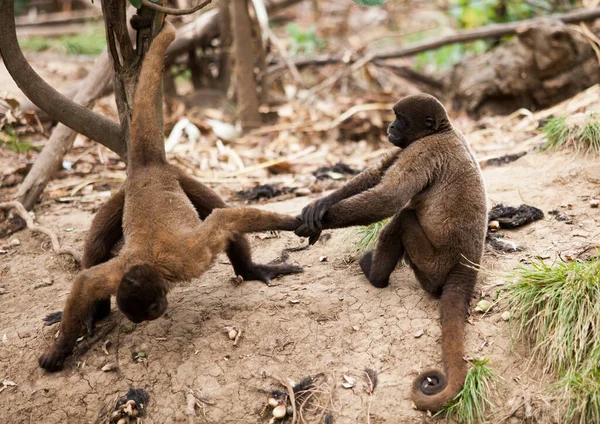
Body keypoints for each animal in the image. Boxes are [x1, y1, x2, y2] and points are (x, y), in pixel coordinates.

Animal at [38, 20, 302, 372]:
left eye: (151, 308)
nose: (155, 313)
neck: (152, 265)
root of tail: (148, 166)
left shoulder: (191, 257)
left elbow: (224, 219)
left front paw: (300, 221)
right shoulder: (116, 274)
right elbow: (85, 281)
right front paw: (59, 349)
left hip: (178, 176)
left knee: (216, 207)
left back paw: (250, 271)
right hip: (124, 191)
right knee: (96, 244)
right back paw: (97, 314)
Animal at [296, 93, 488, 414]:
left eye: (400, 118)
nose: (390, 127)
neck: (442, 131)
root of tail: (467, 265)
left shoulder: (421, 150)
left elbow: (389, 198)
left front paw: (321, 220)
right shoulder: (407, 146)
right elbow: (376, 173)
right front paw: (320, 204)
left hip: (430, 264)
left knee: (403, 216)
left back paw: (374, 275)